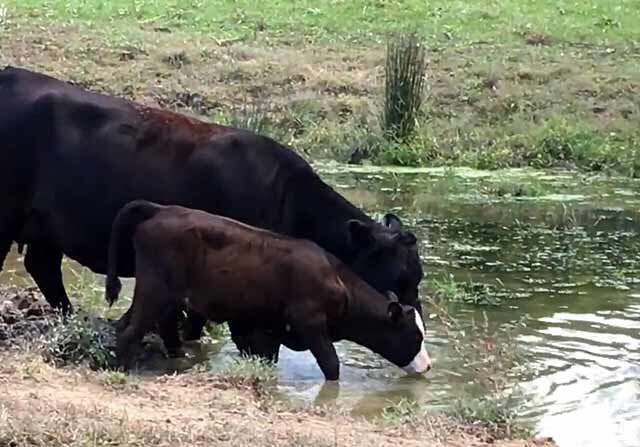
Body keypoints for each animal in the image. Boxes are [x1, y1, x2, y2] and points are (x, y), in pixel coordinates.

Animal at [0, 66, 424, 360]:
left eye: (417, 276)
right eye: (401, 277)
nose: (414, 318)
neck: (287, 197)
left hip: (44, 225)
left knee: (44, 267)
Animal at [106, 201, 436, 380]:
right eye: (414, 336)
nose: (428, 366)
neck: (339, 282)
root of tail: (160, 209)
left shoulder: (269, 328)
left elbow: (266, 358)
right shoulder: (309, 322)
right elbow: (331, 365)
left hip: (161, 296)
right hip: (155, 291)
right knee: (130, 331)